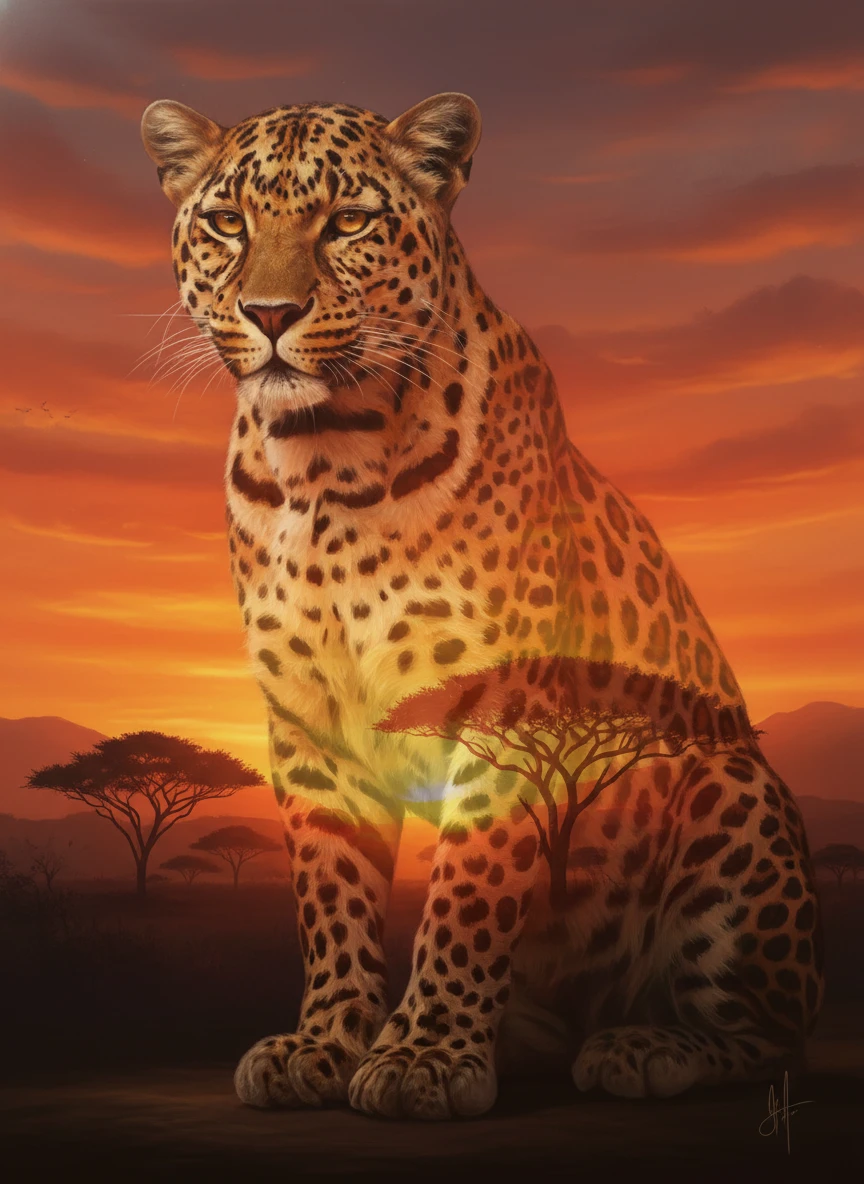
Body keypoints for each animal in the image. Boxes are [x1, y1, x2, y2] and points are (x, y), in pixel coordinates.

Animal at [141, 91, 824, 1120]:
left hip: (728, 792)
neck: (322, 463)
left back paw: (642, 1047)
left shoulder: (503, 711)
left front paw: (424, 1056)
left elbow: (469, 890)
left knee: (773, 1036)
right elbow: (331, 898)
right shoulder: (309, 723)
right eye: (228, 222)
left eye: (347, 223)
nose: (270, 313)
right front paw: (326, 1041)